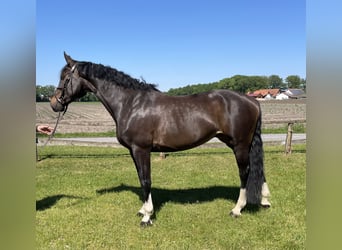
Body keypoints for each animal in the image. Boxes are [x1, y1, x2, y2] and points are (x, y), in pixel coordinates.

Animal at [50, 51, 272, 226]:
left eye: (65, 77)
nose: (54, 103)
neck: (131, 103)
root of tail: (252, 100)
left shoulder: (141, 149)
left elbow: (146, 180)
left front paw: (147, 217)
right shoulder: (134, 151)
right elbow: (141, 179)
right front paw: (143, 210)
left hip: (240, 145)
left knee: (245, 172)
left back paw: (237, 209)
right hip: (239, 143)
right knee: (258, 169)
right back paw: (265, 201)